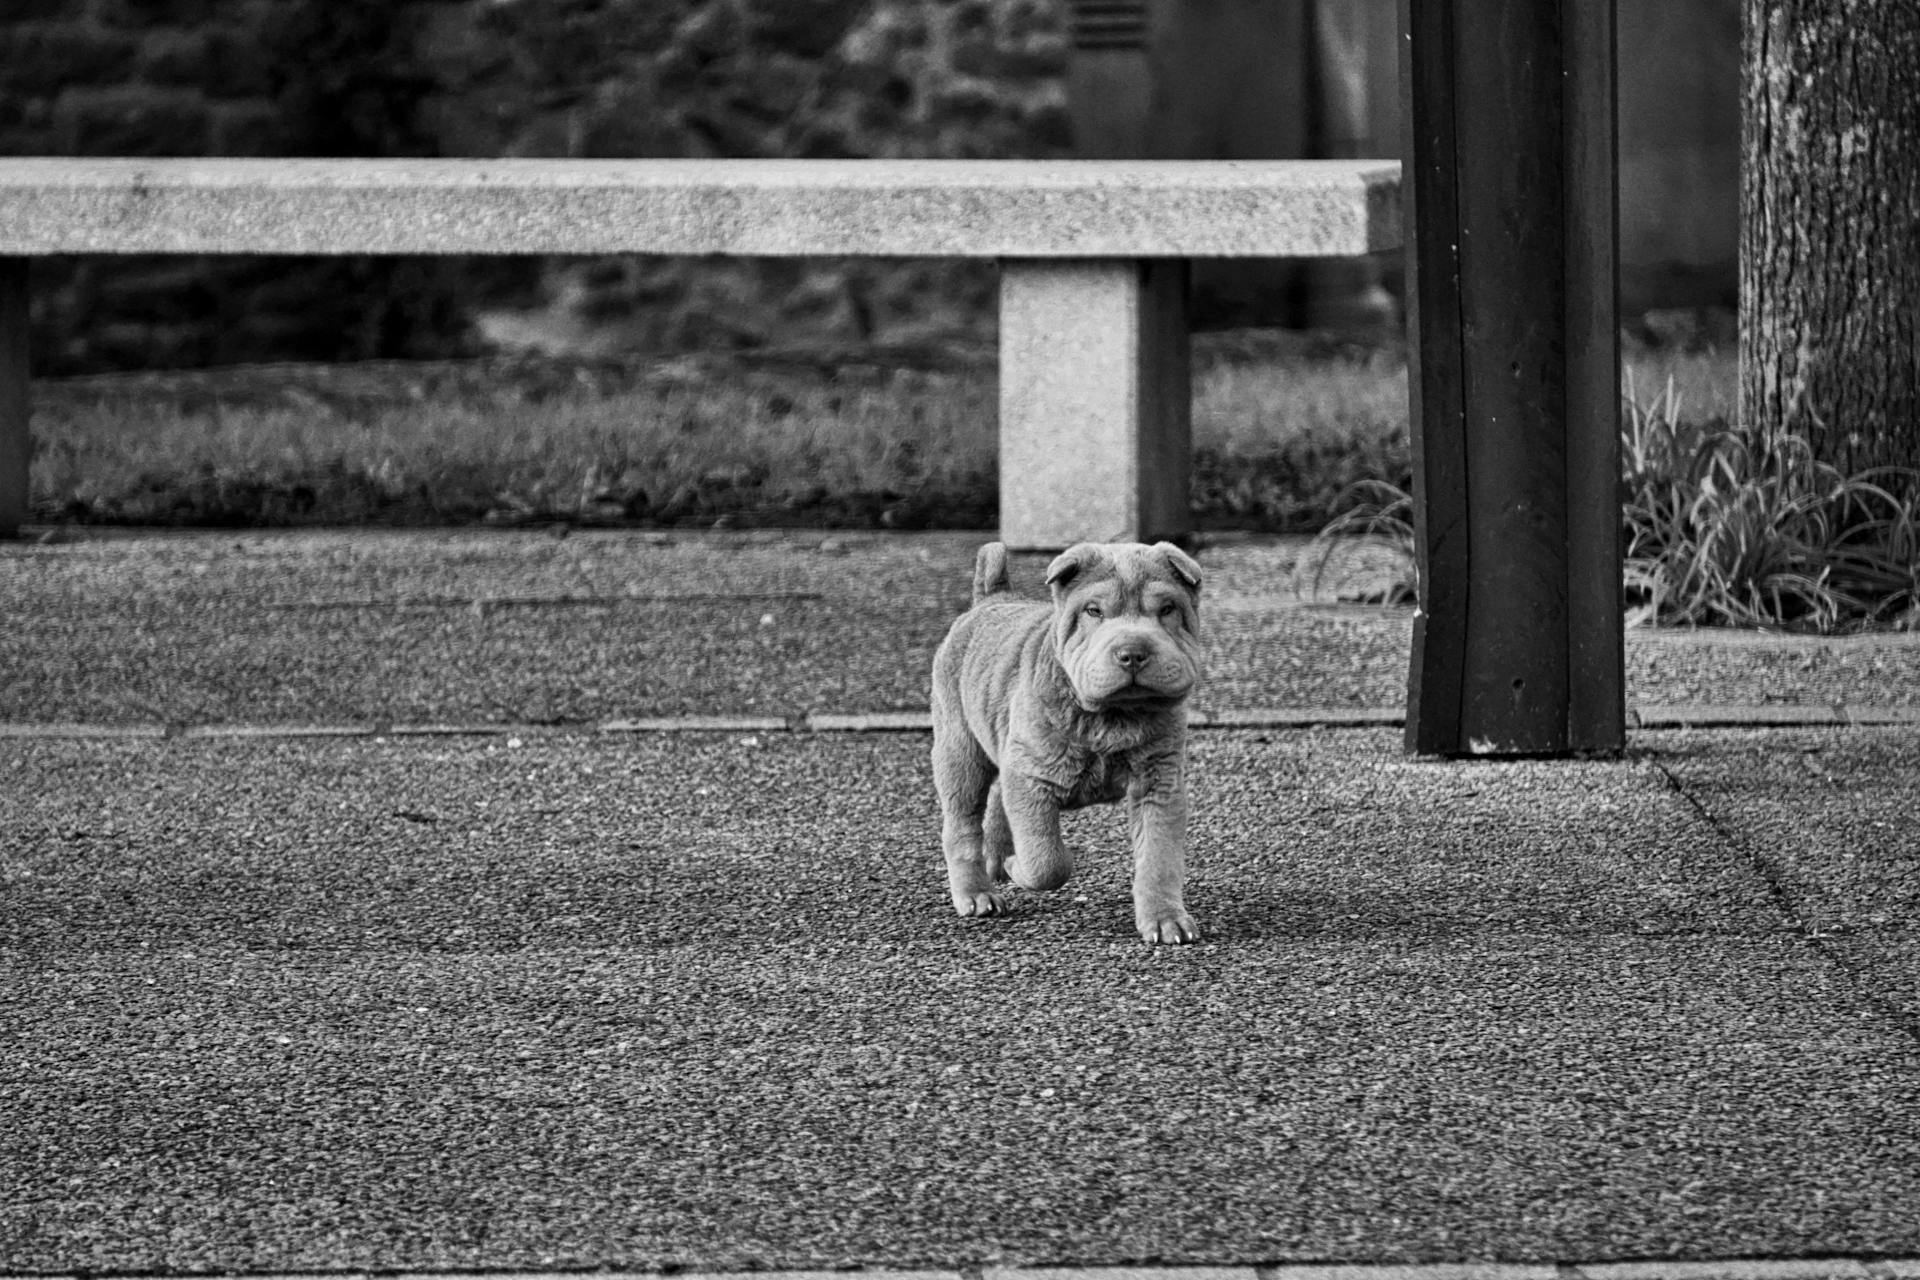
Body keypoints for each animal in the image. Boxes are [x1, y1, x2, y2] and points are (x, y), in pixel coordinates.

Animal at [925, 537, 1198, 948]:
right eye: (1094, 611)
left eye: (1167, 610)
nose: (1133, 652)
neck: (1114, 716)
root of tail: (990, 599)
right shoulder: (1031, 779)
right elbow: (1046, 860)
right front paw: (1019, 866)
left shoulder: (1159, 785)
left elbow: (1159, 858)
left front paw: (1165, 919)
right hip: (960, 753)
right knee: (962, 825)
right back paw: (977, 893)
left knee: (996, 800)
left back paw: (997, 861)